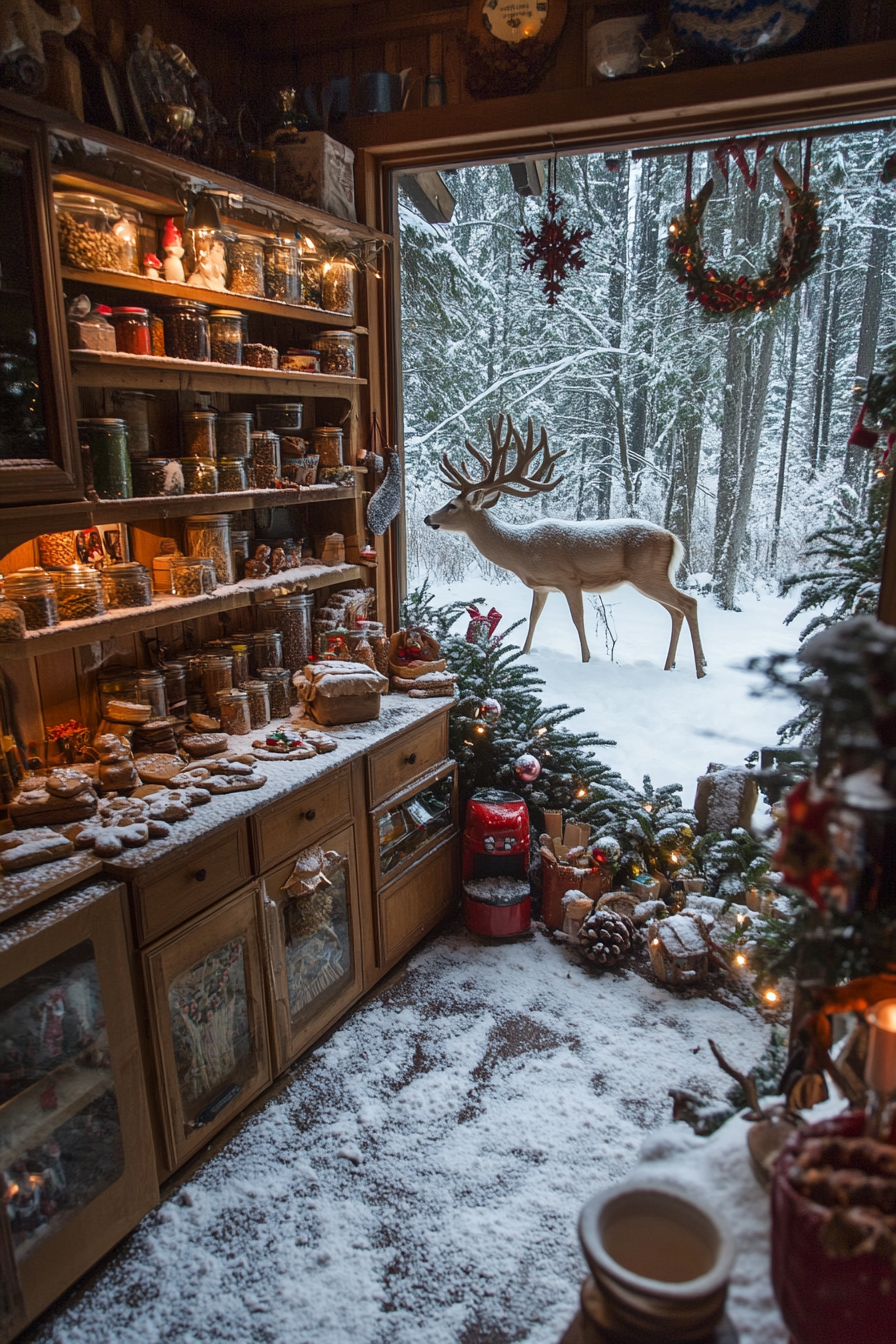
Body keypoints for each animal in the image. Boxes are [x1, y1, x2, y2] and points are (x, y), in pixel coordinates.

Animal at [427, 413, 709, 677]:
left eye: (452, 505)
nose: (427, 518)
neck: (522, 551)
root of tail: (672, 537)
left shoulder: (570, 579)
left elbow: (578, 619)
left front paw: (586, 659)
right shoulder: (541, 587)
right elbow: (533, 617)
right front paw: (525, 653)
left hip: (648, 574)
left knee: (689, 603)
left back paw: (701, 668)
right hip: (652, 578)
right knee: (676, 611)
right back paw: (670, 665)